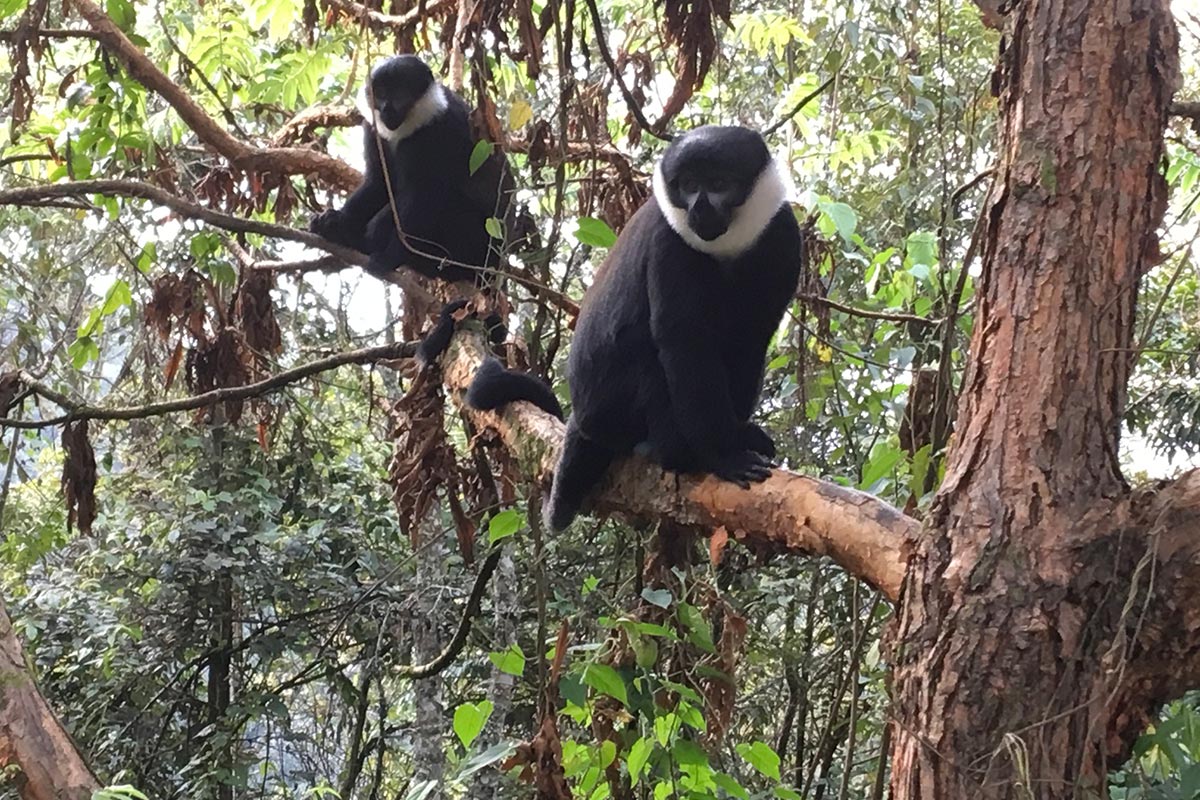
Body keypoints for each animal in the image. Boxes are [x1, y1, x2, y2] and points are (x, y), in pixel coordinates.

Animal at [308, 55, 514, 285]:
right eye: (381, 93)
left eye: (400, 93)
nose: (387, 109)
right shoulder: (374, 130)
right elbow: (378, 183)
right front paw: (336, 223)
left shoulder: (437, 132)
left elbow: (425, 196)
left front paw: (388, 258)